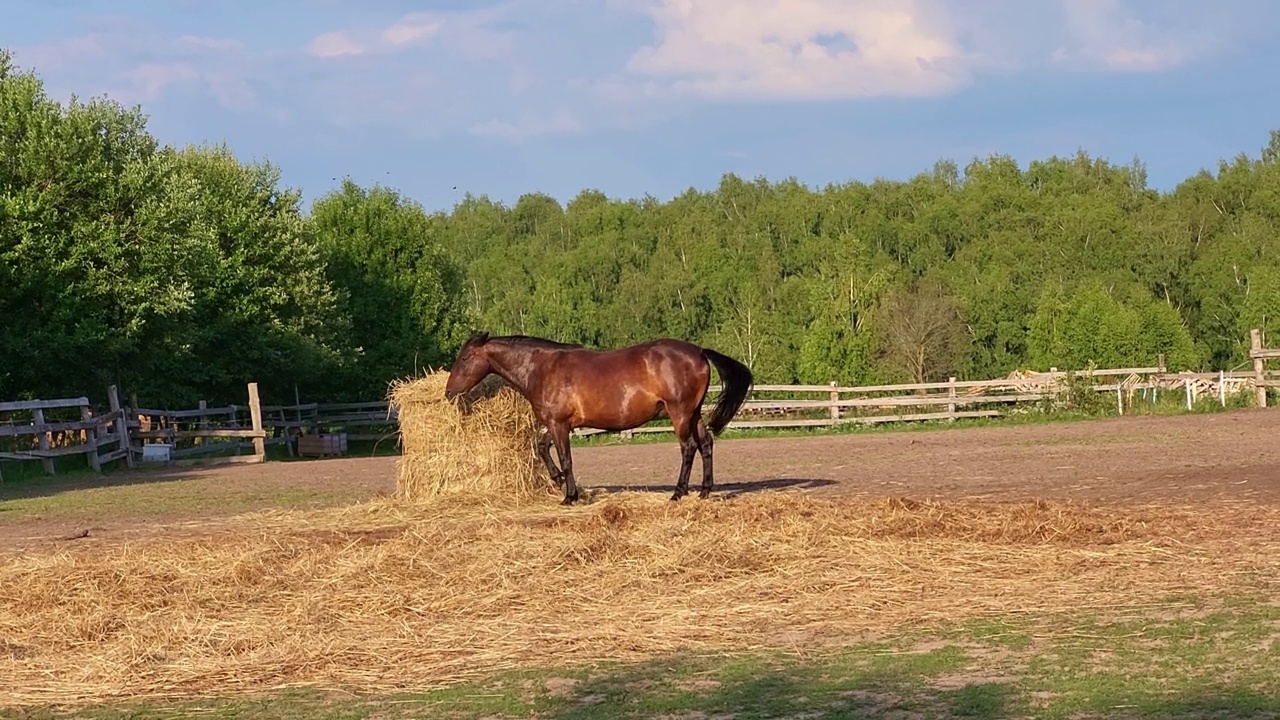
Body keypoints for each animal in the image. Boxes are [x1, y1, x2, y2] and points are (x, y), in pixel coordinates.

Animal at [445, 333, 752, 504]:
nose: (448, 392)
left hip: (680, 413)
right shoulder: (558, 424)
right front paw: (557, 480)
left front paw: (569, 496)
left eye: (465, 357)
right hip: (693, 413)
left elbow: (566, 459)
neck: (542, 367)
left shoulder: (559, 425)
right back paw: (704, 491)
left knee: (688, 448)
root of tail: (698, 351)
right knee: (706, 444)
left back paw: (678, 493)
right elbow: (542, 448)